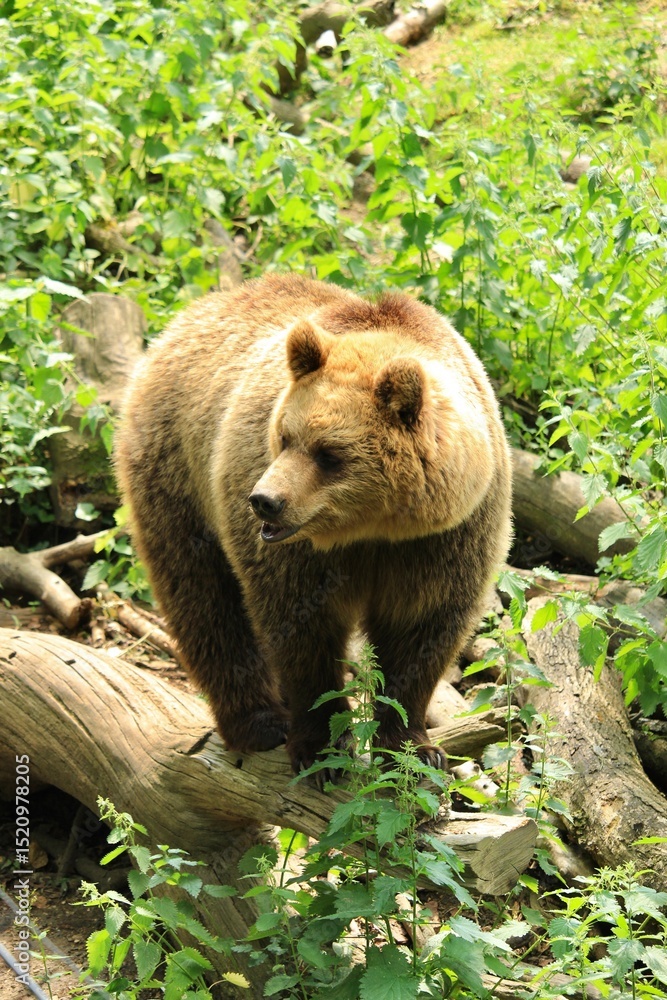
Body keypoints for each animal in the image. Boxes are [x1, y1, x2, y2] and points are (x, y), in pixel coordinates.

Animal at [115, 274, 512, 773]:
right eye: (285, 437)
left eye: (329, 454)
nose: (264, 502)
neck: (375, 528)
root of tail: (185, 318)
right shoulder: (296, 550)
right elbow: (300, 626)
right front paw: (321, 746)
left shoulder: (447, 537)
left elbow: (422, 627)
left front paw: (413, 749)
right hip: (177, 472)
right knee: (202, 597)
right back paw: (257, 722)